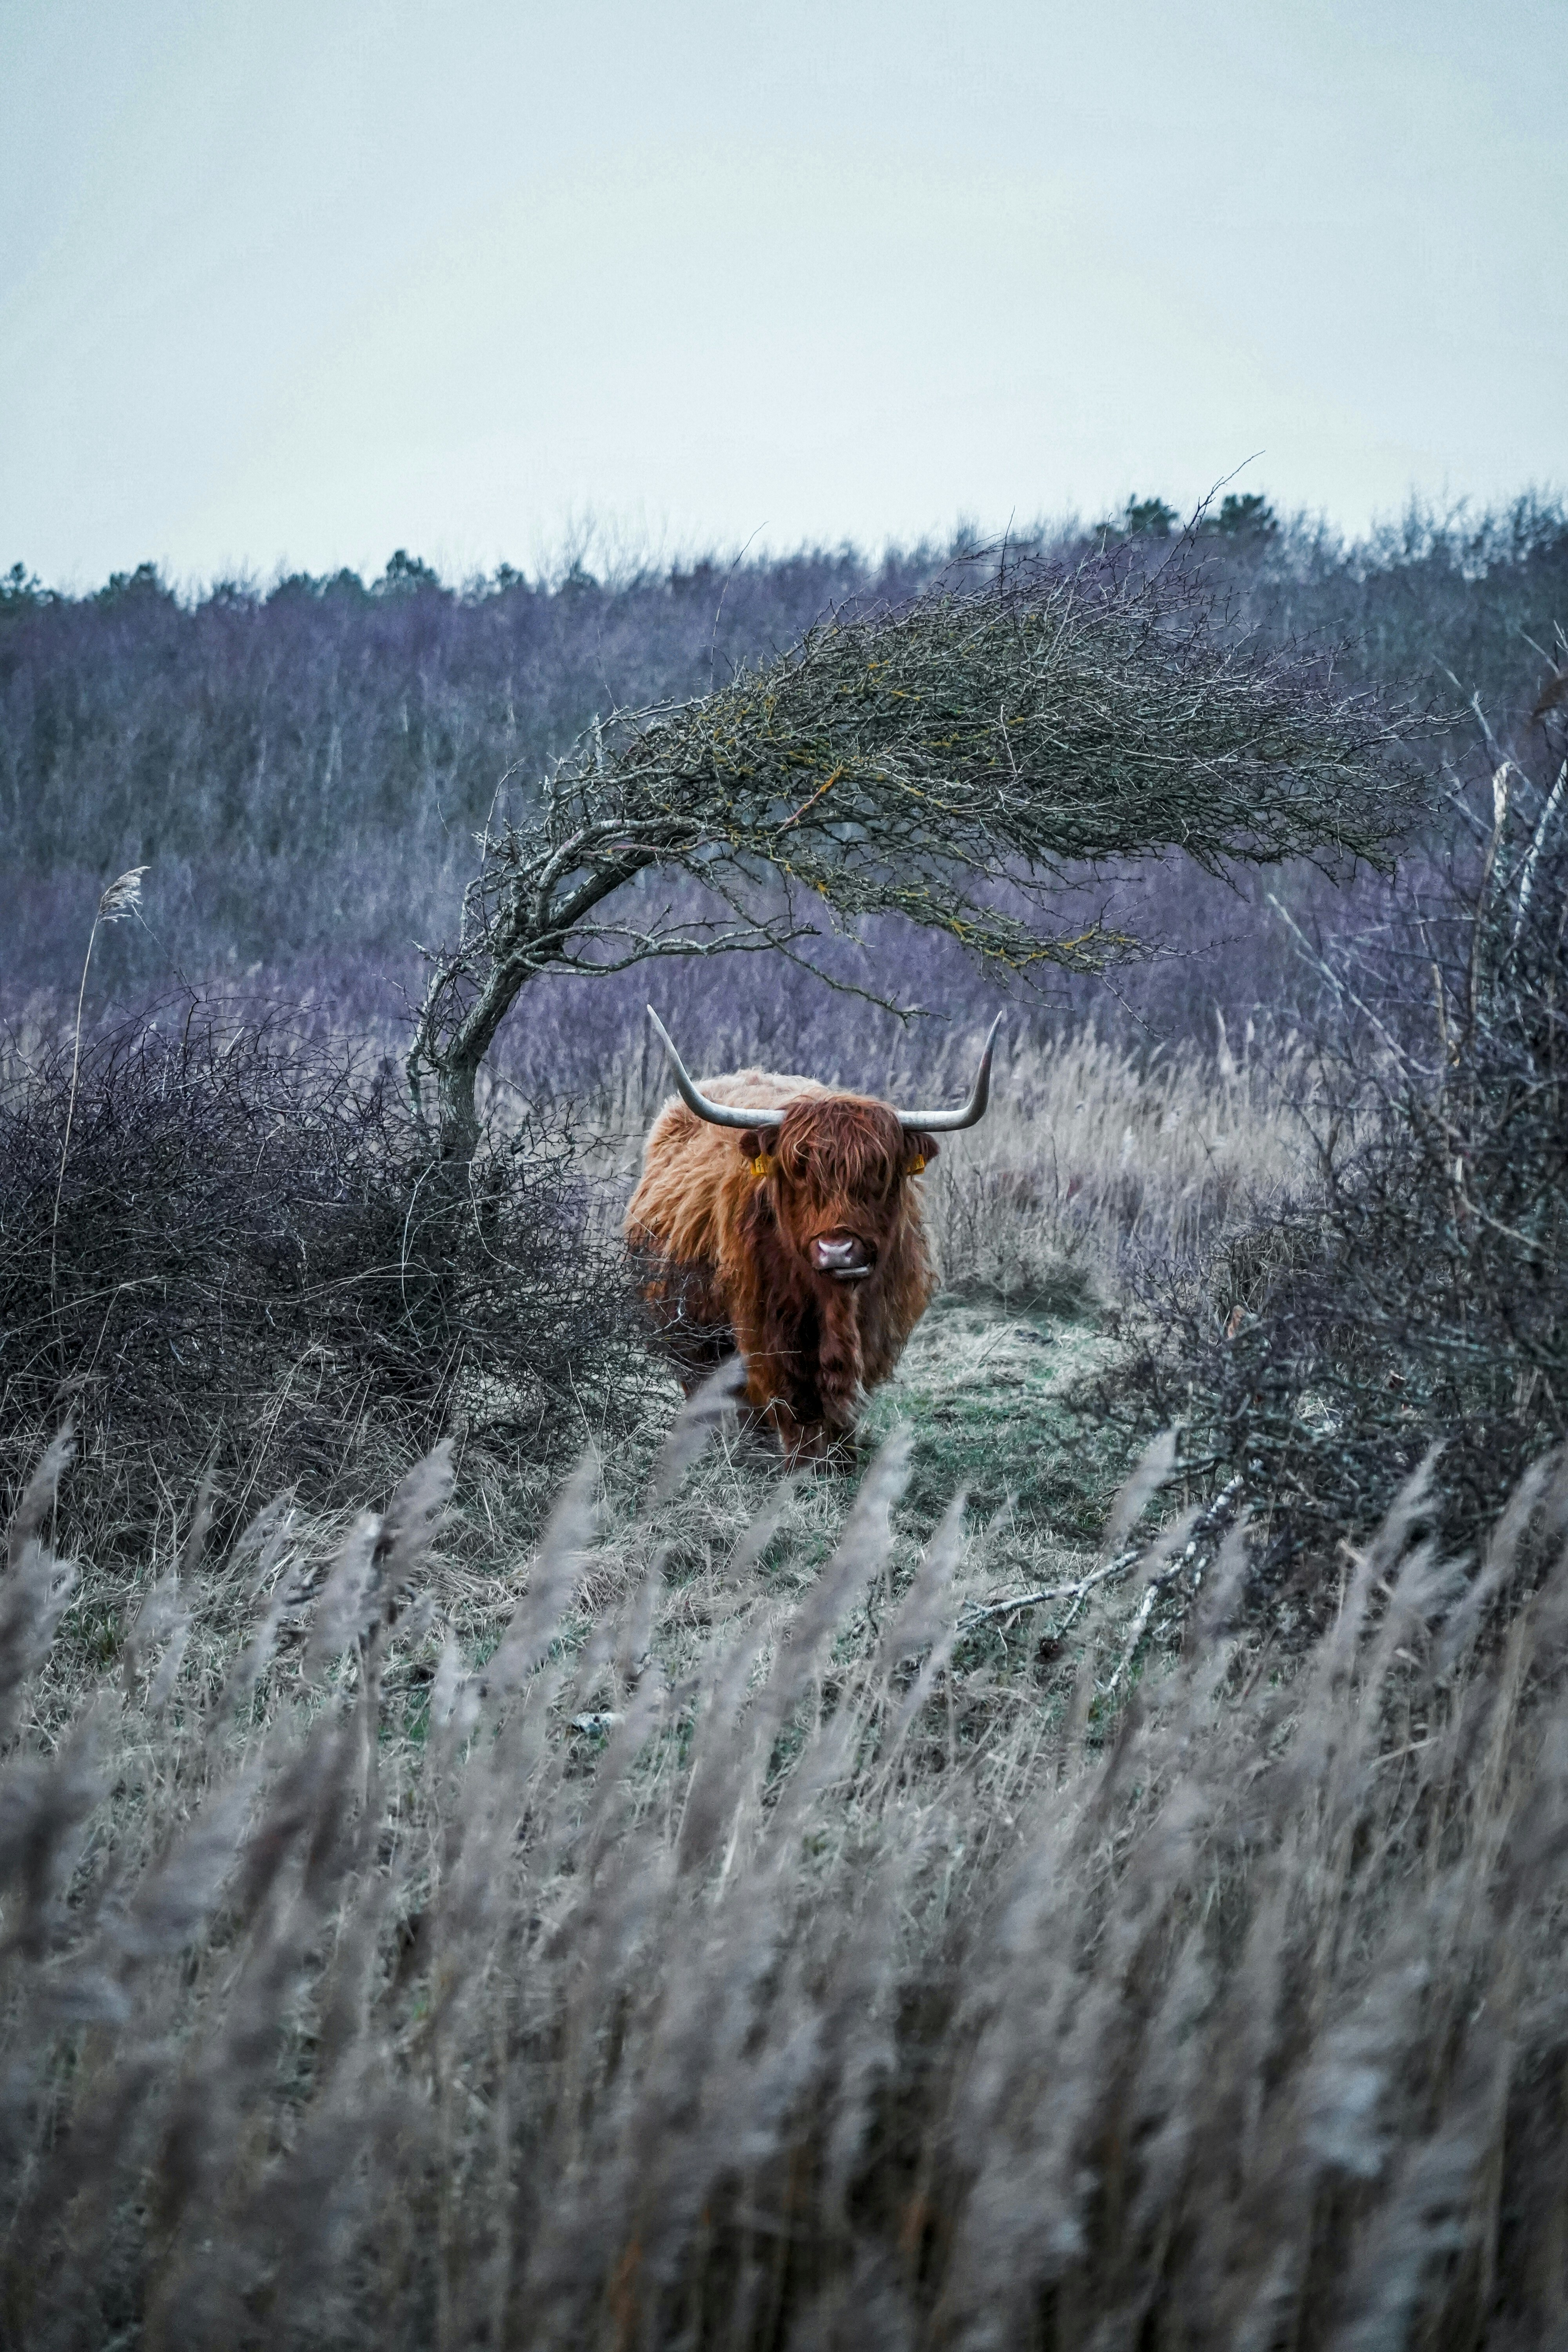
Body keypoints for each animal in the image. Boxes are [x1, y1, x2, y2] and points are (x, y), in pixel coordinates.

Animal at [625, 1008, 1002, 1463]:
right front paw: (802, 1466)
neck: (834, 1305)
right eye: (798, 1171)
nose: (837, 1249)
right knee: (709, 1389)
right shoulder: (767, 1329)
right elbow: (790, 1401)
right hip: (686, 1328)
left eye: (879, 1172)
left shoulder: (875, 1326)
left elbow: (845, 1403)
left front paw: (843, 1460)